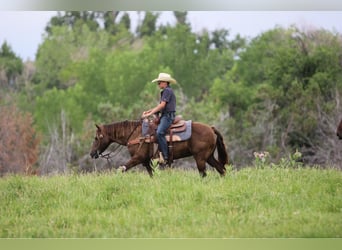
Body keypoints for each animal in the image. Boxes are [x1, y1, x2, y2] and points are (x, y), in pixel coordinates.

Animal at [89, 118, 228, 177]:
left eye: (96, 138)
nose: (92, 153)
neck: (136, 134)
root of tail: (211, 128)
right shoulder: (146, 162)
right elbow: (152, 174)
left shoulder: (138, 158)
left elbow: (122, 168)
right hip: (209, 157)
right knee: (221, 170)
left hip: (200, 158)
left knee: (204, 174)